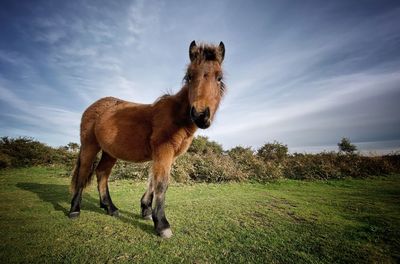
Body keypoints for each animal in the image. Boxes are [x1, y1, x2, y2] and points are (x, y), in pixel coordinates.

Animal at [69, 40, 225, 238]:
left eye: (219, 78)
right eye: (189, 76)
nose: (200, 115)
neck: (176, 116)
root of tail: (93, 107)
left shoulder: (166, 155)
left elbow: (152, 180)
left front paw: (146, 210)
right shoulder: (163, 151)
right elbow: (161, 184)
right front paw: (162, 225)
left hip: (109, 152)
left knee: (102, 173)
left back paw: (110, 208)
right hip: (90, 145)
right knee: (83, 173)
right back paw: (75, 209)